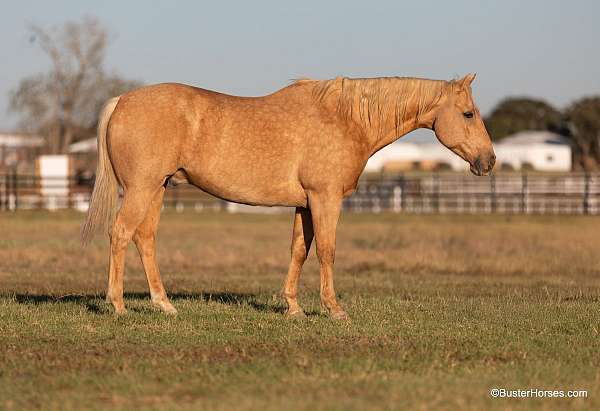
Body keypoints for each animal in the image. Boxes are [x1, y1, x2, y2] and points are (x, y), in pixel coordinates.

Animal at [82, 74, 494, 320]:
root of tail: (122, 101)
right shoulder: (326, 198)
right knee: (121, 234)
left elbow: (299, 250)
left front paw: (292, 307)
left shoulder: (305, 203)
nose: (488, 161)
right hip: (142, 188)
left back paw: (164, 304)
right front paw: (333, 309)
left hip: (157, 188)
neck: (345, 119)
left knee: (145, 239)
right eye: (468, 114)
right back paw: (118, 305)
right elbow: (326, 250)